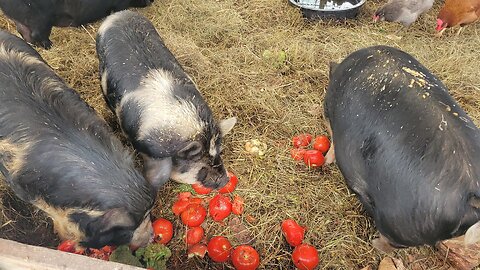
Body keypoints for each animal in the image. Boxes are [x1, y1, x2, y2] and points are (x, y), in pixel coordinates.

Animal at [0, 0, 154, 49]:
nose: (150, 1)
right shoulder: (120, 3)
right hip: (40, 19)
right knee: (37, 35)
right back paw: (51, 47)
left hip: (22, 21)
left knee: (25, 34)